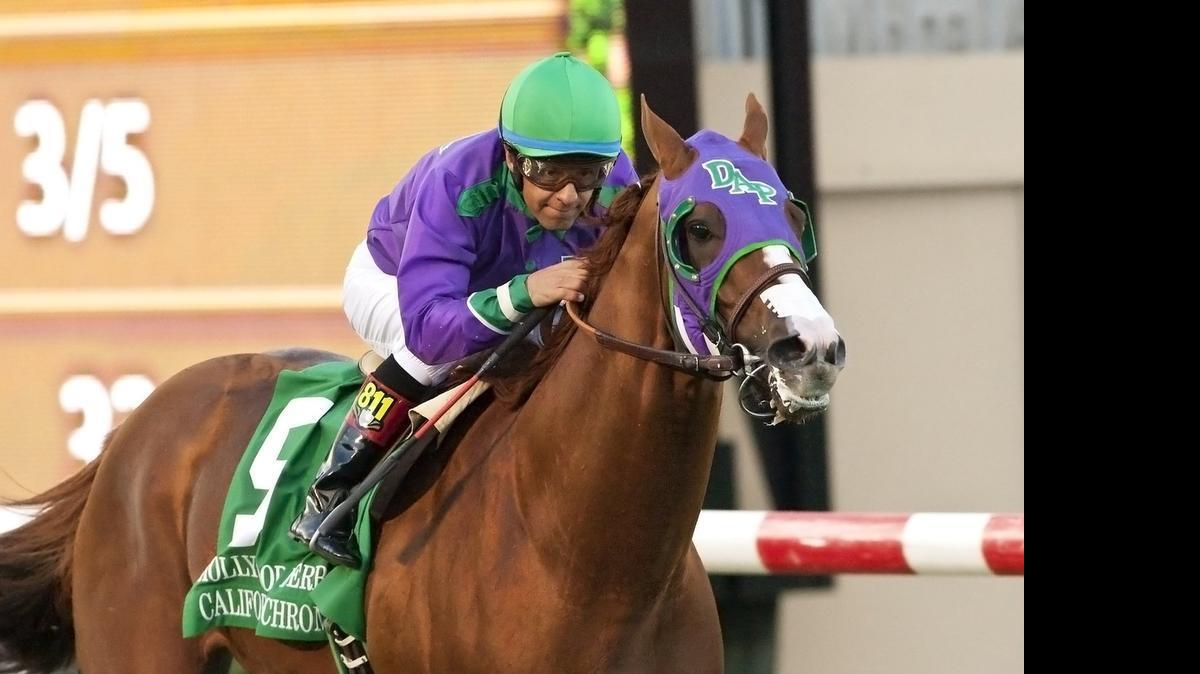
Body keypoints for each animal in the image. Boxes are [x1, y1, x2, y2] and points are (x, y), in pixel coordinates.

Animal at [0, 94, 844, 674]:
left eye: (791, 210)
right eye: (699, 228)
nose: (812, 347)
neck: (585, 561)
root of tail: (133, 430)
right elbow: (435, 329)